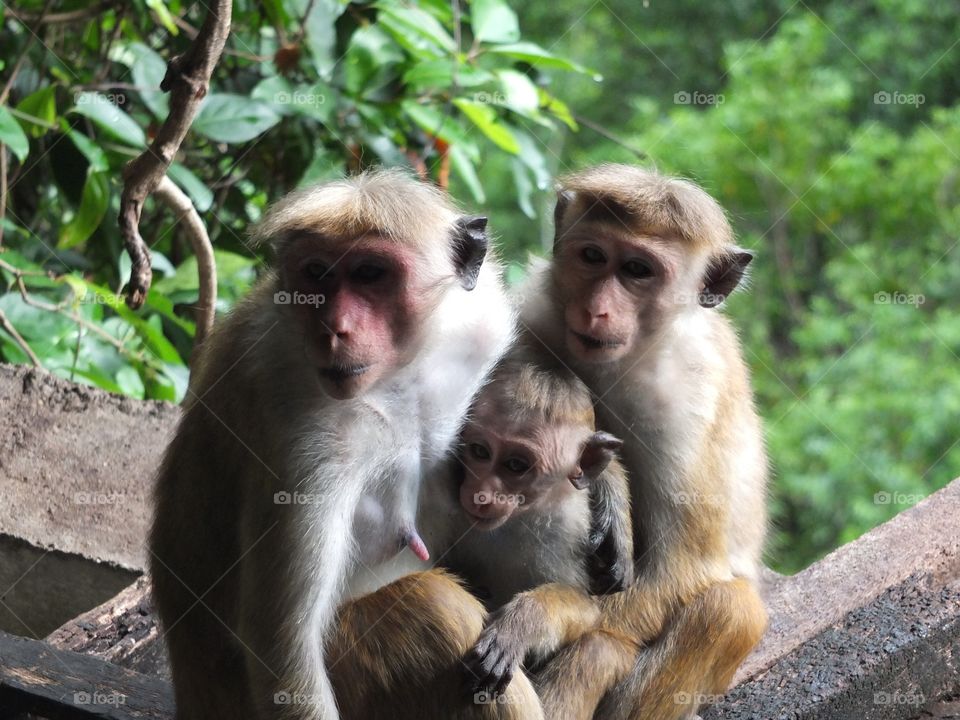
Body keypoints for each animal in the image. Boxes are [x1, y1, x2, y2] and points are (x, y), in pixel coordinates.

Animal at [151, 170, 528, 720]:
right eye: (316, 273)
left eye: (370, 273)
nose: (334, 329)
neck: (400, 375)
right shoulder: (303, 426)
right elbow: (284, 652)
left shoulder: (479, 320)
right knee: (436, 610)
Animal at [512, 166, 768, 720]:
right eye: (592, 256)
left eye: (637, 269)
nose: (597, 310)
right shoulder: (536, 312)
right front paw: (609, 486)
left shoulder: (685, 408)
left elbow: (684, 571)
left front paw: (541, 616)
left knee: (728, 610)